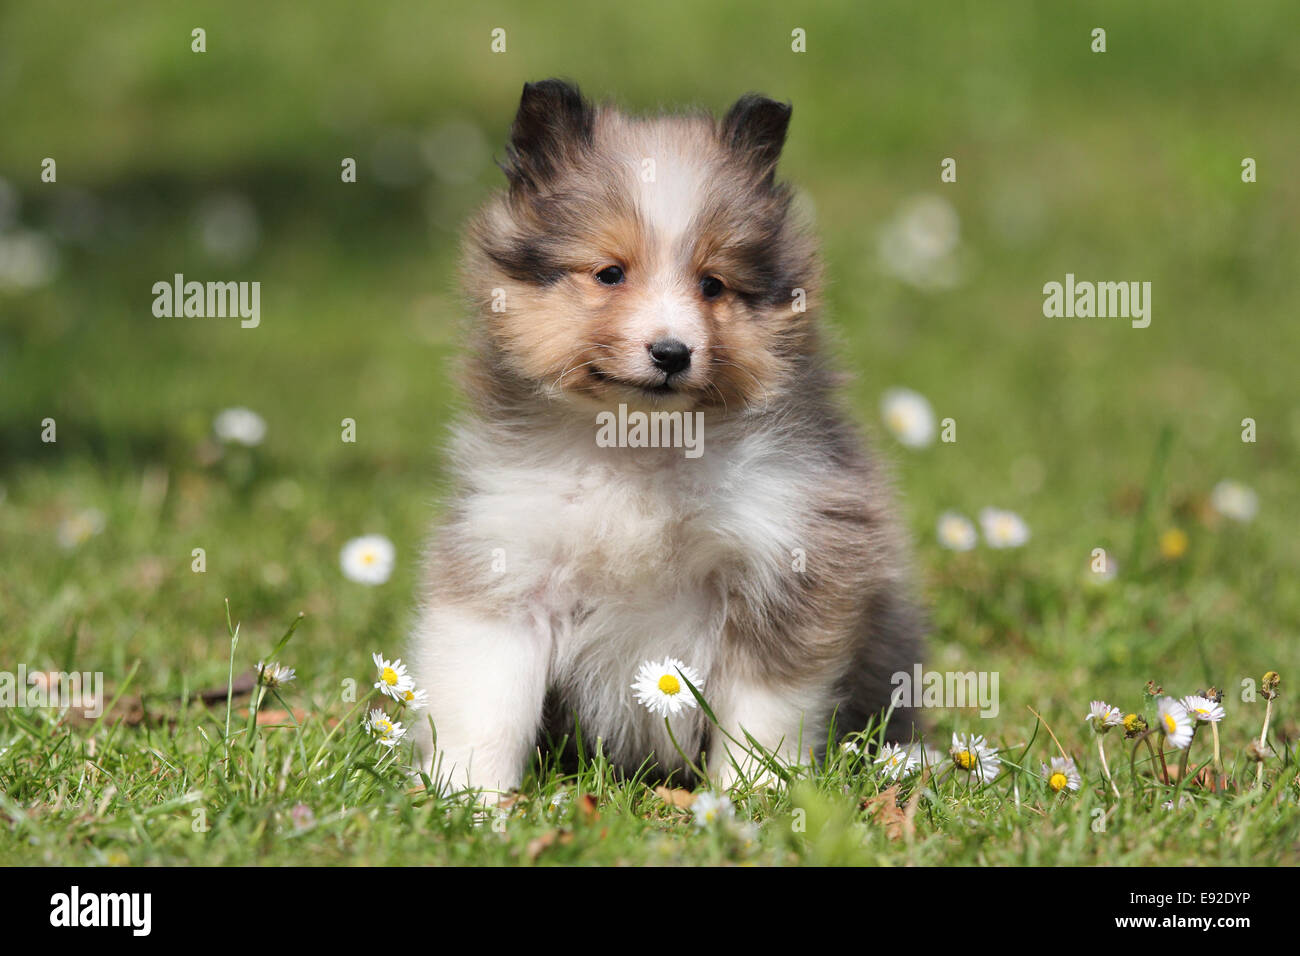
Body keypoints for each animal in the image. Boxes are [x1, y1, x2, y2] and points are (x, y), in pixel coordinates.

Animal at [408, 80, 925, 801]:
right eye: (610, 274)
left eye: (713, 284)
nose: (672, 353)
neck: (639, 446)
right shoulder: (510, 565)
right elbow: (487, 705)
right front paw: (470, 799)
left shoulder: (785, 565)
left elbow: (762, 715)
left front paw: (747, 799)